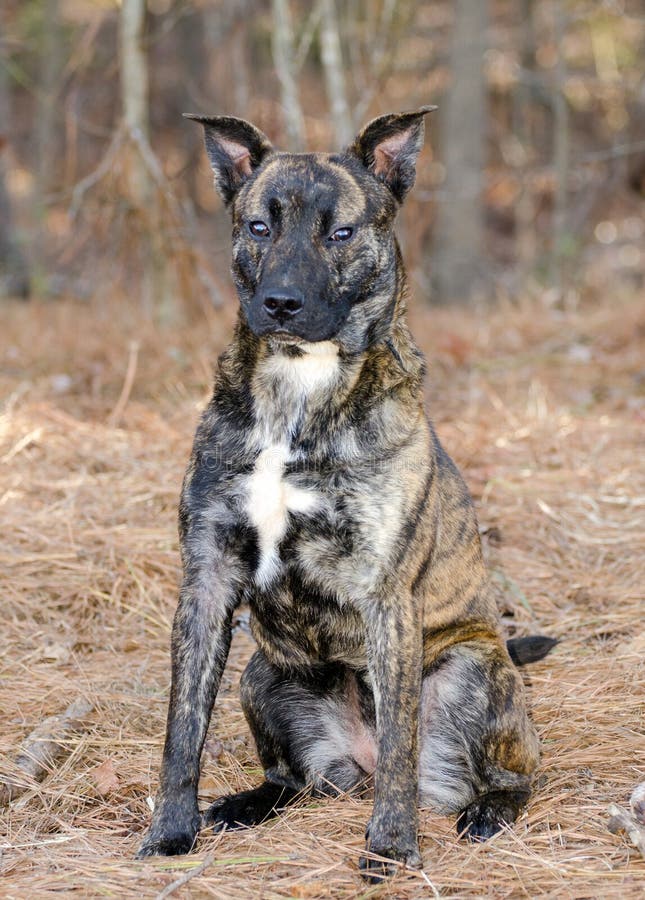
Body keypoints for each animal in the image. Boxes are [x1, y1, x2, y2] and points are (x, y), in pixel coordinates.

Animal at [136, 109, 552, 884]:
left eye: (341, 233)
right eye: (258, 226)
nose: (280, 304)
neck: (299, 389)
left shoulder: (386, 595)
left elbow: (398, 751)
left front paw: (390, 848)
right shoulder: (205, 581)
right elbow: (182, 731)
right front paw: (170, 832)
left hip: (474, 672)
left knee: (508, 772)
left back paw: (486, 811)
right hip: (264, 675)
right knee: (292, 779)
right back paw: (247, 803)